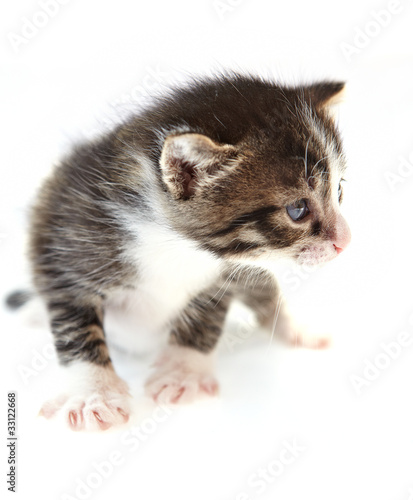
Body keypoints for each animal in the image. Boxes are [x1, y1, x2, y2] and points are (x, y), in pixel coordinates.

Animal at [24, 73, 350, 430]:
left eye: (339, 191)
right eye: (297, 209)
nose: (346, 241)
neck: (176, 245)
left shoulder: (228, 272)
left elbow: (205, 318)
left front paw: (183, 372)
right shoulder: (60, 250)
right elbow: (75, 330)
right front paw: (93, 394)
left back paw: (297, 331)